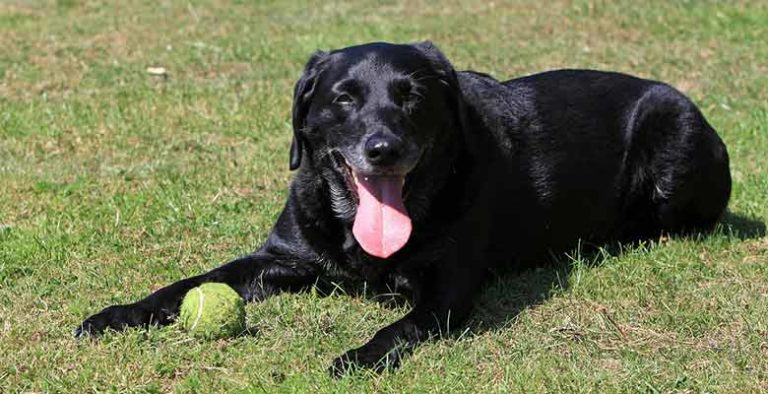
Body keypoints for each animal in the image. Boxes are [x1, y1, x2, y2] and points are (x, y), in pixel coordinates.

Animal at [78, 42, 732, 376]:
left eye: (412, 97)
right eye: (343, 98)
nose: (383, 148)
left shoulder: (447, 290)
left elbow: (400, 327)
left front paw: (357, 356)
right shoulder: (280, 256)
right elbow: (185, 285)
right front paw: (117, 315)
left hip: (673, 139)